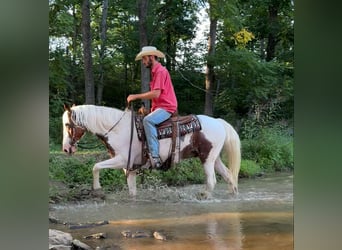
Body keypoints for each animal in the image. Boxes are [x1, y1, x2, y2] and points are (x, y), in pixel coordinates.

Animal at [62, 103, 242, 197]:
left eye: (67, 125)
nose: (66, 149)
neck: (118, 129)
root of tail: (218, 121)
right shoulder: (129, 167)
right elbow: (132, 190)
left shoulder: (121, 160)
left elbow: (96, 166)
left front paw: (97, 188)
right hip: (214, 158)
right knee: (229, 176)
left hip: (207, 159)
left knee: (212, 181)